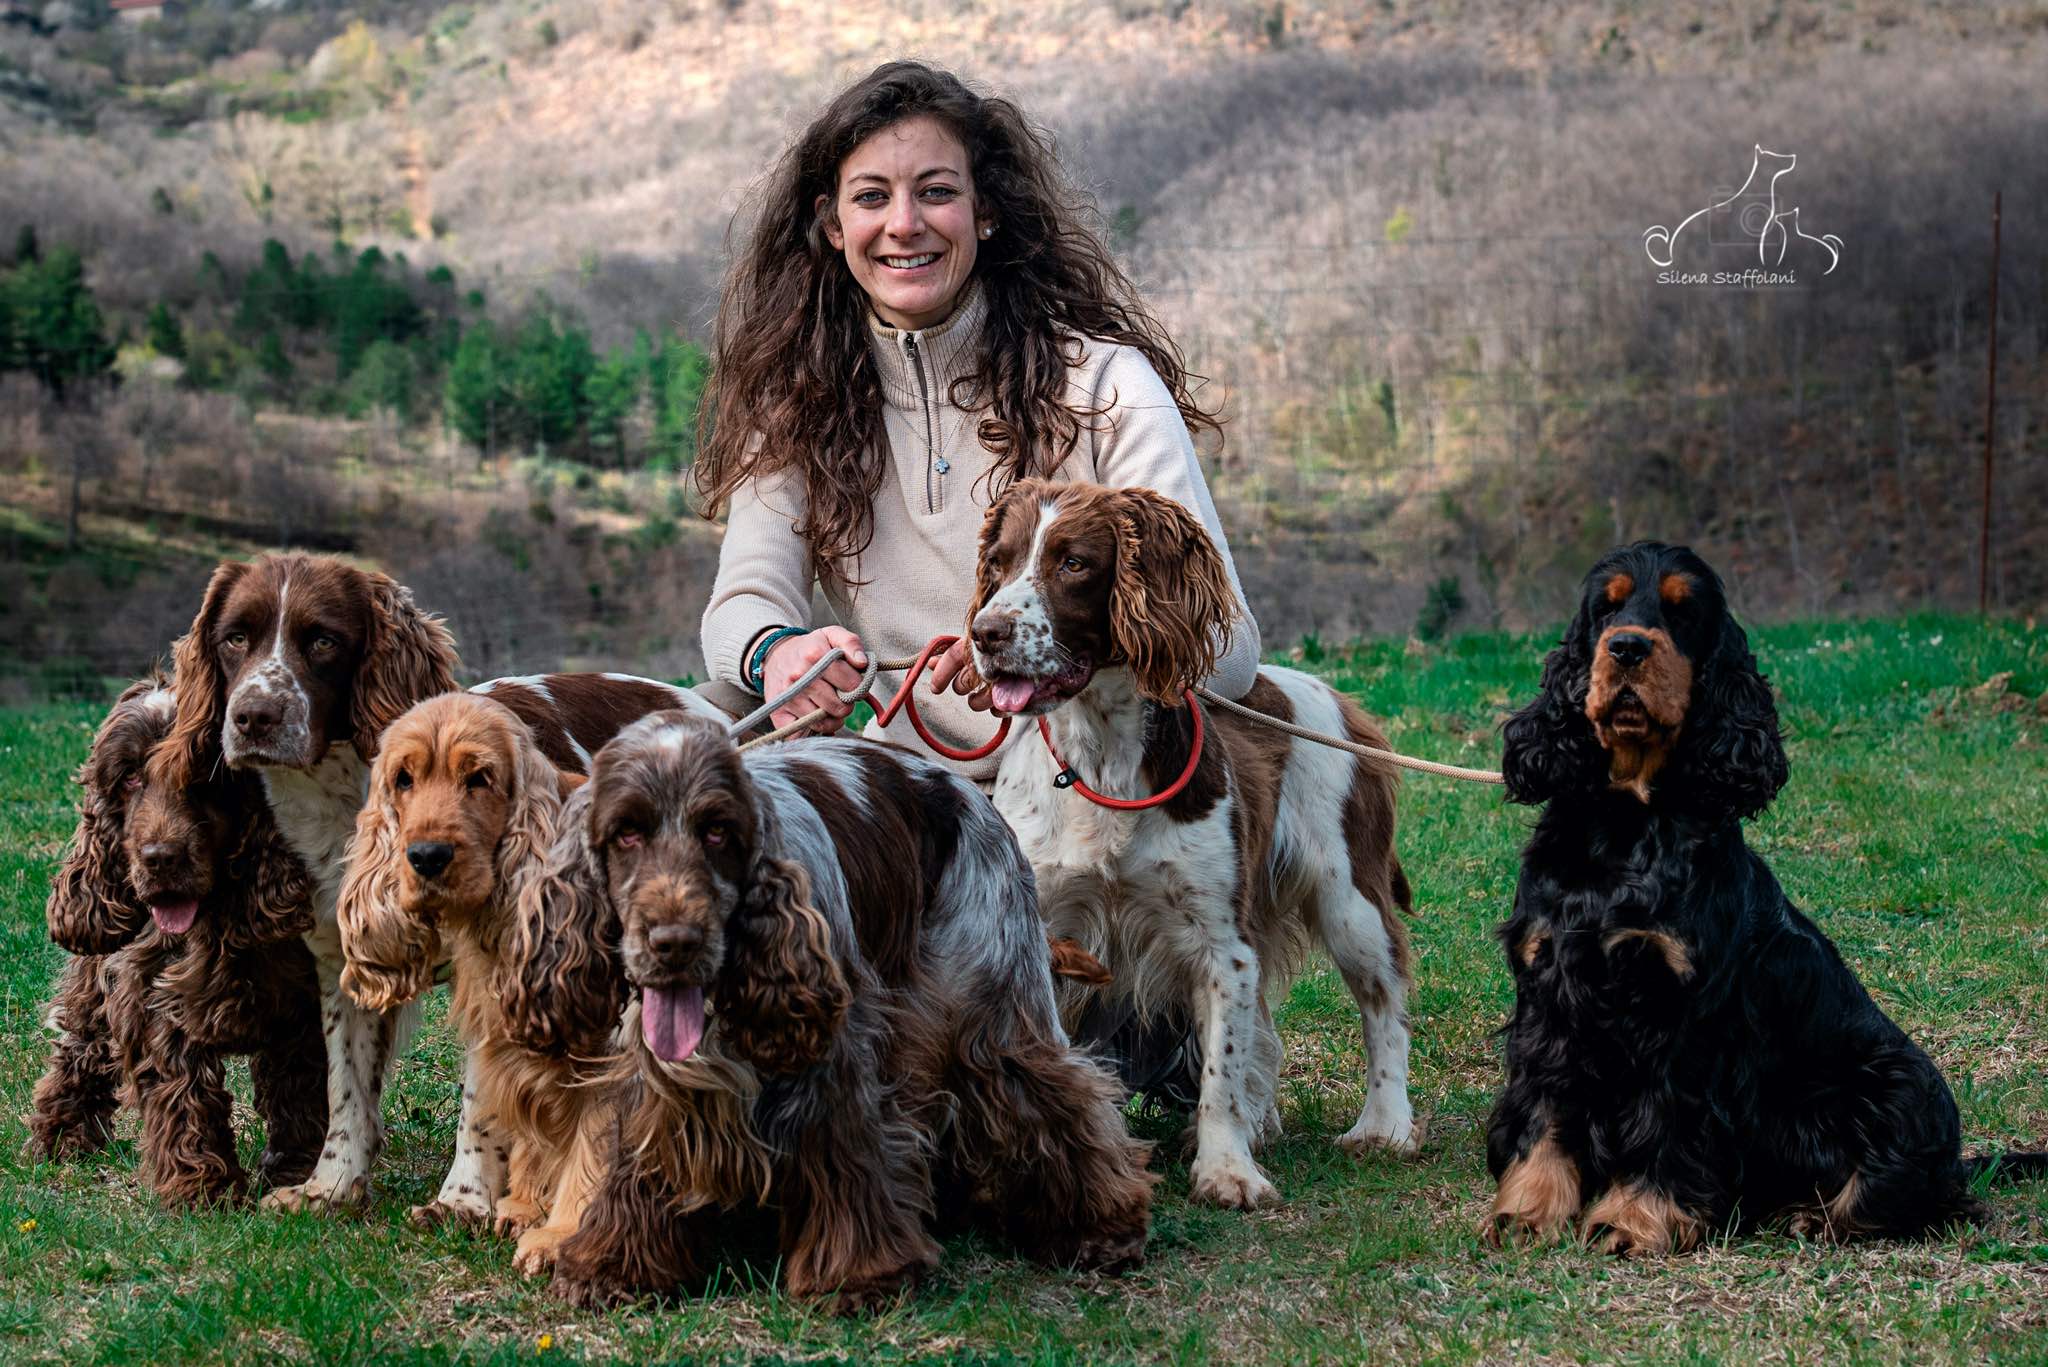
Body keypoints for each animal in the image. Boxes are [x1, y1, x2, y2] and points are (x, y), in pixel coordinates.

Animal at [962, 478, 1418, 1210]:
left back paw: (1386, 1124)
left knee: (1385, 1005)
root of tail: (1346, 707)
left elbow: (1219, 1072)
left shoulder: (1220, 943)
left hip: (1352, 902)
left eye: (1074, 564)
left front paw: (1227, 1168)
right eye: (999, 564)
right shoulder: (1050, 929)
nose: (985, 632)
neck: (1103, 759)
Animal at [1485, 541, 2047, 1253]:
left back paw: (1816, 1214)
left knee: (1920, 1196)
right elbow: (1545, 1104)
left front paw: (1636, 1220)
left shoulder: (1685, 1015)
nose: (1628, 648)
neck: (1628, 821)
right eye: (1605, 610)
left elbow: (1666, 1119)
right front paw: (1527, 1210)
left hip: (1898, 1085)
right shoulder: (1550, 990)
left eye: (1682, 611)